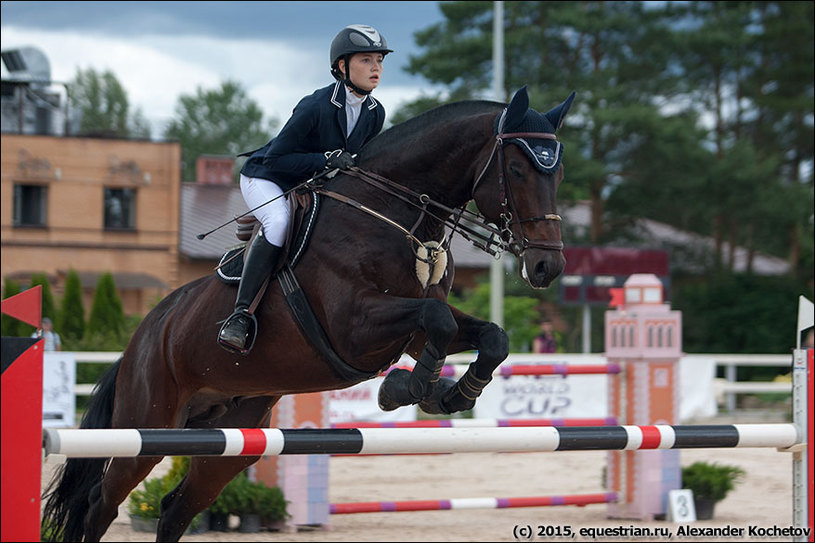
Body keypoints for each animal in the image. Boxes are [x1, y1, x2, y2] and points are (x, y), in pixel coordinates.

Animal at [39, 85, 572, 540]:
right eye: (518, 170)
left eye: (559, 173)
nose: (547, 266)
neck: (397, 213)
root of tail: (145, 333)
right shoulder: (356, 326)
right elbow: (436, 324)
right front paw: (407, 389)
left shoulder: (416, 327)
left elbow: (490, 336)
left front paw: (454, 394)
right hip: (148, 424)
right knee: (100, 505)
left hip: (231, 435)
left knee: (175, 509)